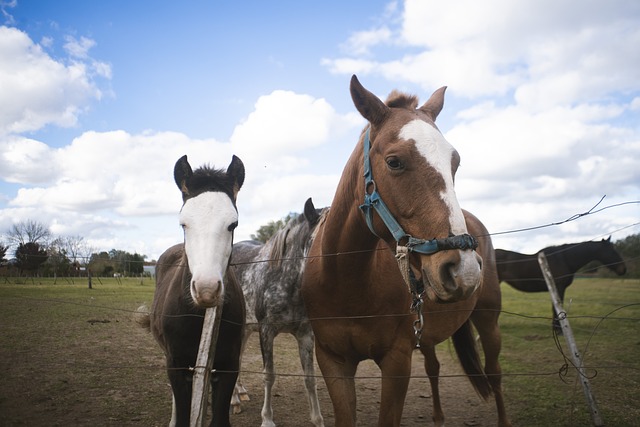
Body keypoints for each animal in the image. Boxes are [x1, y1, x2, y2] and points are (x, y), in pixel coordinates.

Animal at [300, 77, 510, 427]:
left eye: (454, 163)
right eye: (394, 162)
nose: (464, 270)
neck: (348, 282)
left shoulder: (396, 363)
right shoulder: (333, 362)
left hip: (488, 321)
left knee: (494, 374)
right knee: (434, 368)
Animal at [496, 237, 624, 334]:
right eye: (612, 251)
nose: (623, 269)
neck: (565, 259)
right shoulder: (559, 287)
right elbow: (557, 307)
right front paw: (558, 330)